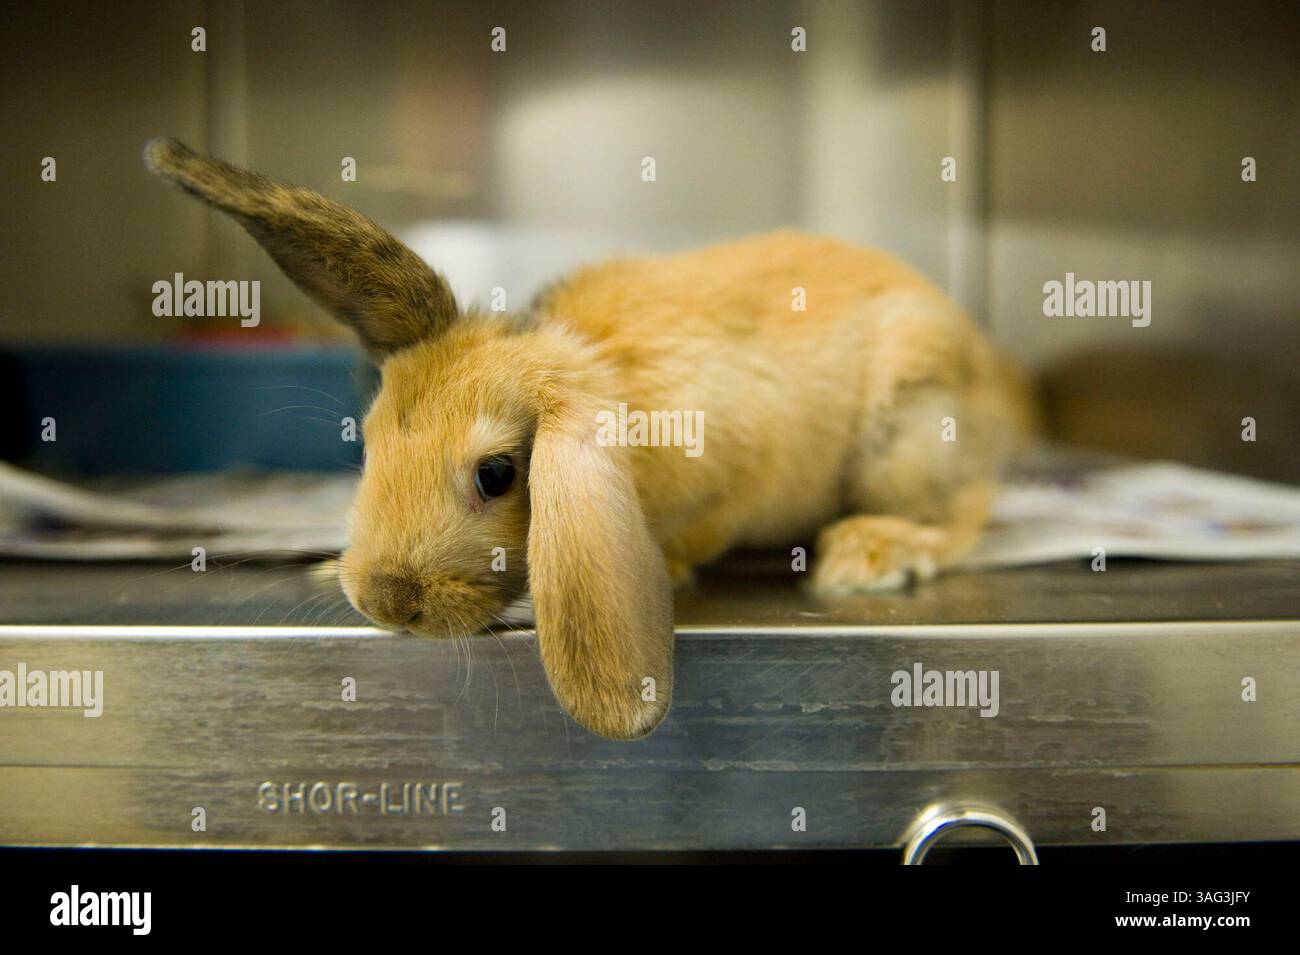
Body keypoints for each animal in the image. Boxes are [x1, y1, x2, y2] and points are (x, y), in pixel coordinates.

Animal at [144, 138, 1037, 740]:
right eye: (366, 442)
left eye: (497, 474)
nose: (386, 601)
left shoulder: (739, 479)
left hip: (907, 437)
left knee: (966, 513)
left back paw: (868, 554)